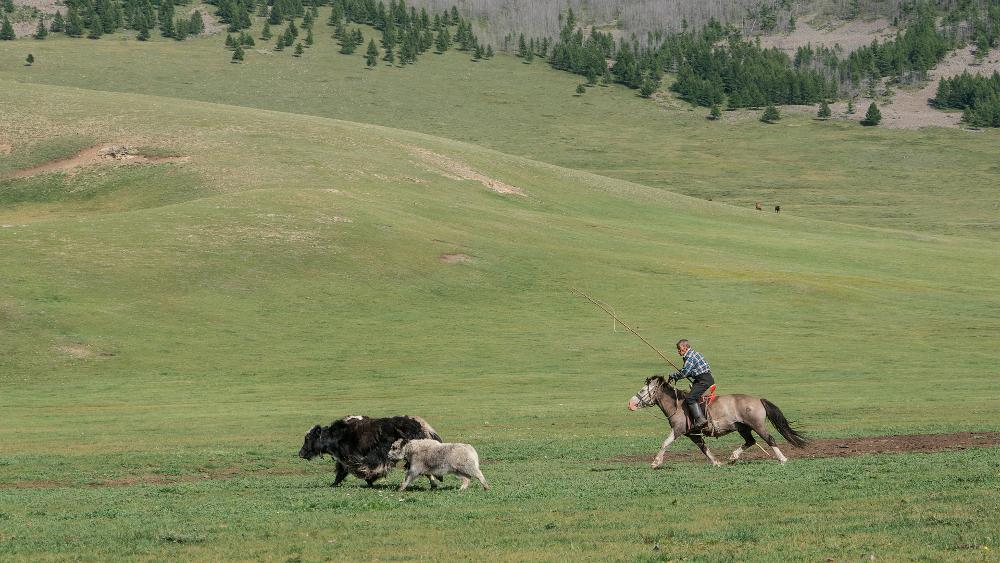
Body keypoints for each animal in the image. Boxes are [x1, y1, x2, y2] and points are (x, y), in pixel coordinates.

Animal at [628, 376, 808, 470]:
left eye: (643, 390)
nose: (631, 404)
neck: (678, 405)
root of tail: (758, 400)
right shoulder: (693, 435)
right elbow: (704, 448)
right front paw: (716, 462)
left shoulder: (678, 430)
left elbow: (665, 443)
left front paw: (655, 462)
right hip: (743, 428)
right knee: (750, 441)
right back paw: (733, 458)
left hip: (757, 426)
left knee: (770, 439)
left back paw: (782, 459)